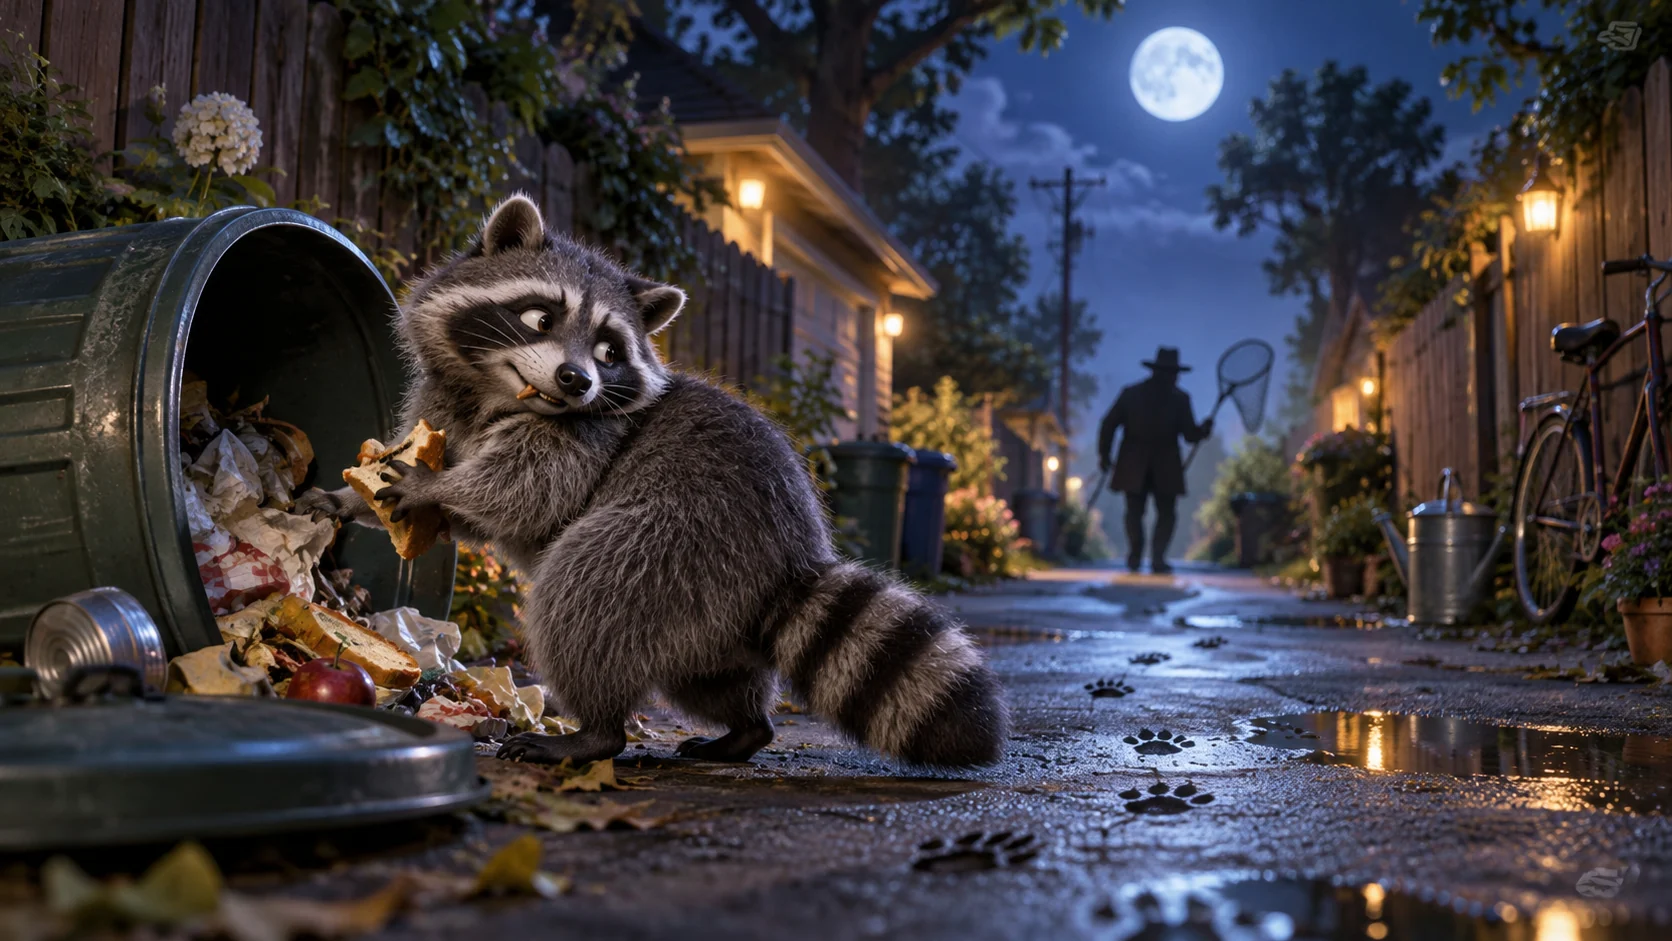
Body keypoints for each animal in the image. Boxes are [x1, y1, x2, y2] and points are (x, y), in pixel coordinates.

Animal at [300, 194, 1008, 768]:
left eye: (609, 351)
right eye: (540, 319)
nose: (576, 380)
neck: (498, 394)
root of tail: (788, 567)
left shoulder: (587, 440)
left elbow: (522, 493)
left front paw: (435, 489)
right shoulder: (441, 406)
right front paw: (347, 497)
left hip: (678, 547)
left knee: (583, 591)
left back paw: (596, 732)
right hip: (708, 619)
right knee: (710, 678)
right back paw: (746, 729)